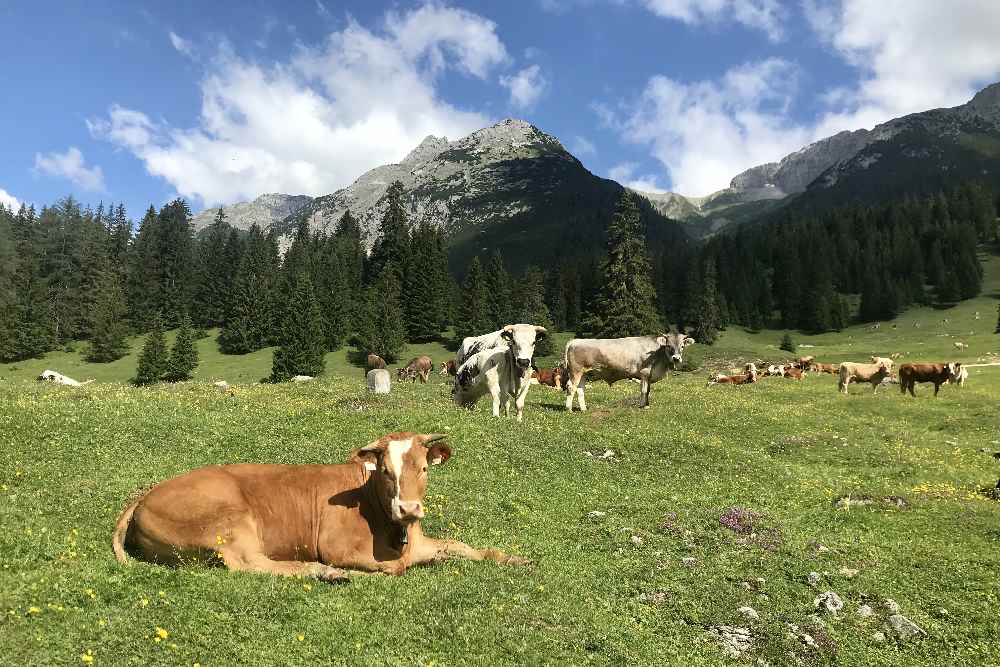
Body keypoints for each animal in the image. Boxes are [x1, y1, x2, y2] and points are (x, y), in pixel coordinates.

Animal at [113, 434, 528, 580]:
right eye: (387, 471)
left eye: (424, 468)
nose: (409, 508)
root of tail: (144, 495)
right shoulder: (336, 544)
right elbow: (395, 566)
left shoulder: (423, 540)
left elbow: (465, 547)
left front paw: (513, 558)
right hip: (229, 522)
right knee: (249, 564)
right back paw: (327, 573)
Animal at [564, 332, 696, 410]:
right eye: (669, 346)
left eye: (682, 346)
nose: (676, 358)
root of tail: (575, 341)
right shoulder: (645, 372)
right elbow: (644, 390)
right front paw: (642, 406)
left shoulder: (649, 375)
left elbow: (648, 390)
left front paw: (647, 405)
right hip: (576, 371)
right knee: (571, 387)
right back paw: (569, 409)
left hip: (584, 373)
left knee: (580, 389)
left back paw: (584, 409)